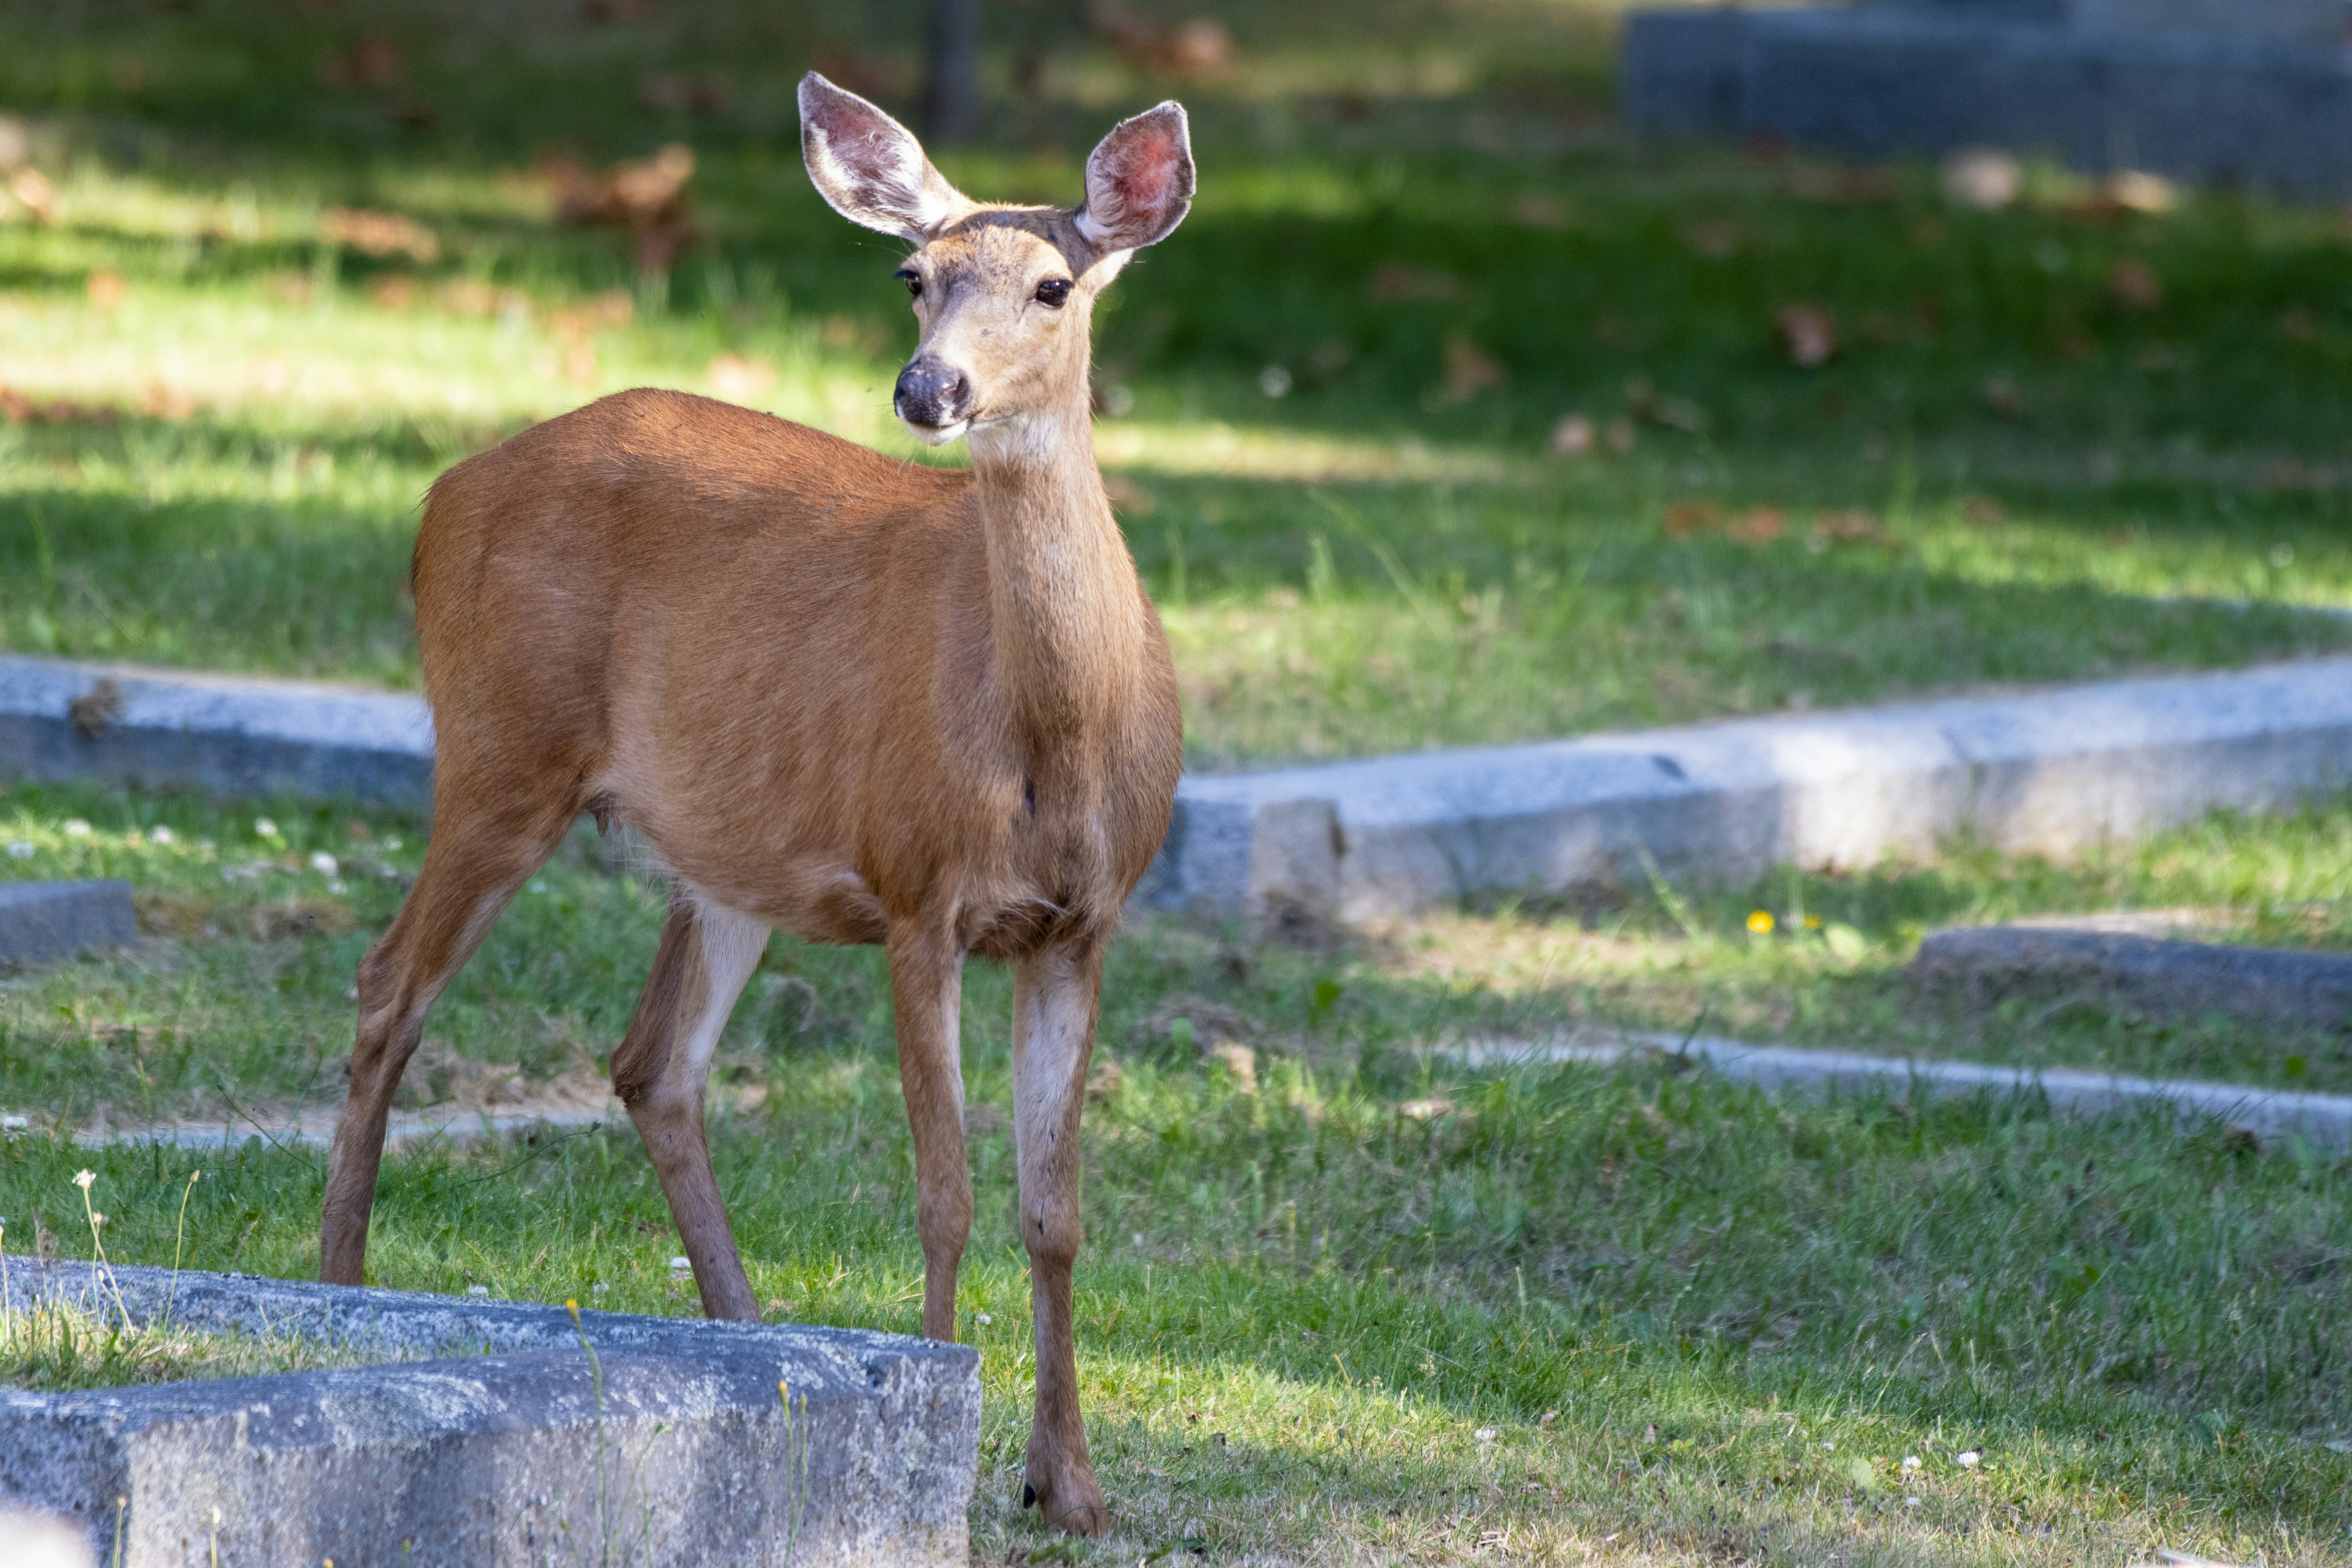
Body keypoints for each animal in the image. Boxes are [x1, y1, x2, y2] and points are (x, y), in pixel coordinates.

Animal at [316, 74, 1194, 1537]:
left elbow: (1054, 1209)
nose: (929, 385)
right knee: (391, 986)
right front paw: (943, 1436)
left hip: (721, 856)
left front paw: (1068, 1482)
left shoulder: (1085, 922)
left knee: (651, 1061)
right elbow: (946, 1192)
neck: (1055, 739)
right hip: (499, 749)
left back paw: (751, 1339)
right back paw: (334, 1292)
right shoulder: (917, 888)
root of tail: (440, 494)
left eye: (1055, 285)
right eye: (913, 277)